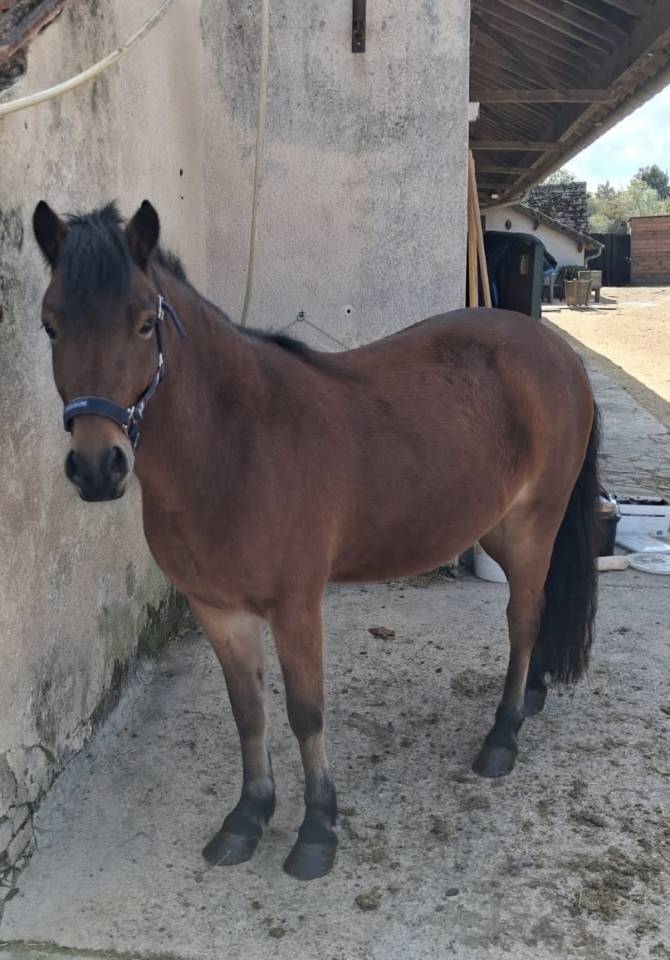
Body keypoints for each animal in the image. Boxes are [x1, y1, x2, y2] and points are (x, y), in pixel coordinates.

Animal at [33, 199, 599, 881]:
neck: (234, 446)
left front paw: (317, 830)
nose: (98, 468)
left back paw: (503, 735)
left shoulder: (296, 606)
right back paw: (533, 695)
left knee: (523, 617)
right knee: (537, 611)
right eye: (50, 326)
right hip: (498, 528)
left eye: (146, 325)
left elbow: (305, 713)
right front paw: (247, 817)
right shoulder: (217, 610)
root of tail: (555, 350)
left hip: (531, 523)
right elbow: (248, 712)